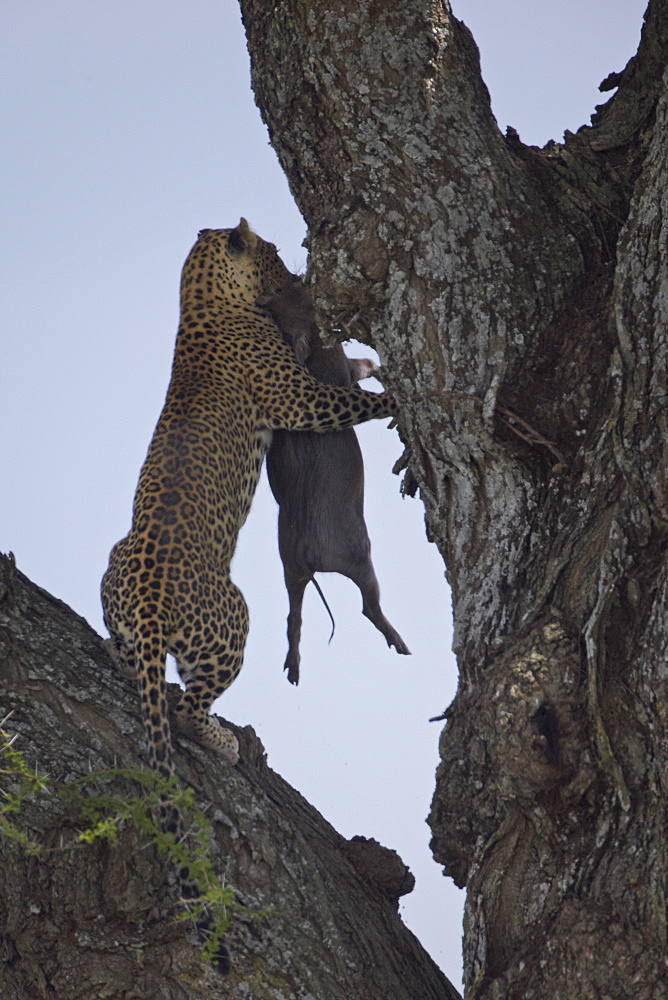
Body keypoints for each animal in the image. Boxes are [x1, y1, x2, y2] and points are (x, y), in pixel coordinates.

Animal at [100, 217, 396, 968]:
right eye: (271, 252)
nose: (295, 270)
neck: (201, 298)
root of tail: (145, 605)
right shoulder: (300, 397)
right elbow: (349, 402)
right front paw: (396, 399)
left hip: (112, 573)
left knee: (141, 667)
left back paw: (122, 656)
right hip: (233, 616)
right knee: (185, 707)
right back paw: (223, 739)